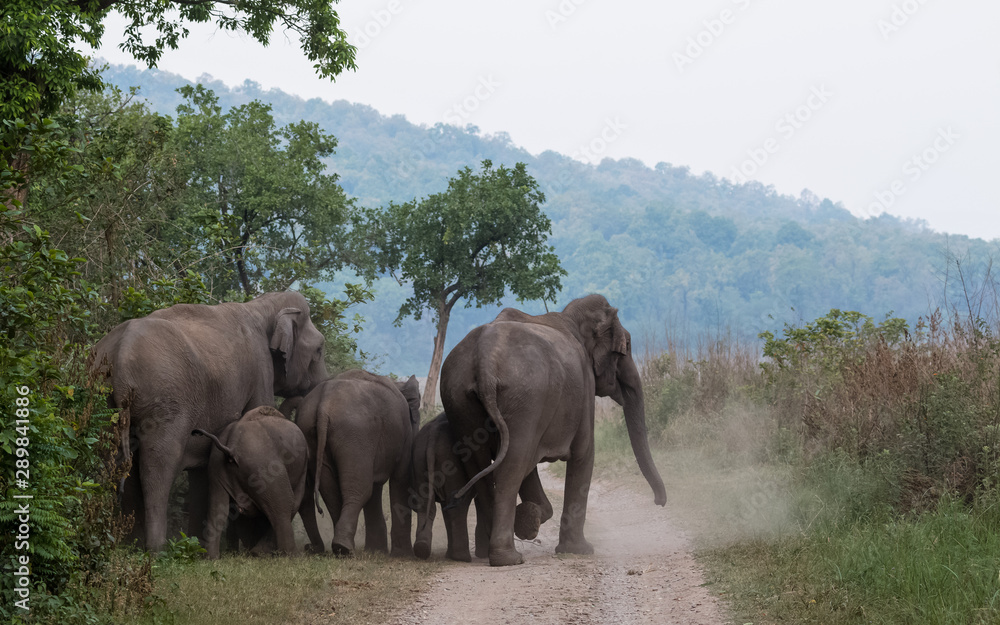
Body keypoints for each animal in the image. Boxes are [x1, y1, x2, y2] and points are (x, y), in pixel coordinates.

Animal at [192, 405, 309, 559]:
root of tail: (231, 447)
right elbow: (294, 502)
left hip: (216, 466)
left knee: (217, 508)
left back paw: (212, 558)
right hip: (265, 467)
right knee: (285, 504)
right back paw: (291, 556)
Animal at [295, 370, 421, 557]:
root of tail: (324, 405)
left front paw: (377, 551)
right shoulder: (403, 437)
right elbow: (400, 480)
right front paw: (402, 555)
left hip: (312, 433)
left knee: (331, 490)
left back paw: (342, 548)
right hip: (355, 435)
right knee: (360, 489)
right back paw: (344, 548)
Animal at [411, 412, 554, 561]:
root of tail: (433, 435)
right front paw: (483, 555)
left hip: (419, 459)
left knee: (426, 504)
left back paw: (425, 550)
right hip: (449, 463)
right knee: (457, 506)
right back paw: (462, 557)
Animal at [440, 294, 667, 566]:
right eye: (628, 346)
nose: (659, 502)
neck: (573, 318)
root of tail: (484, 359)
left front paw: (531, 518)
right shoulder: (584, 390)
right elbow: (584, 455)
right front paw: (579, 549)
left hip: (459, 399)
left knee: (483, 466)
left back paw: (490, 550)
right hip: (525, 399)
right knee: (511, 467)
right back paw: (508, 558)